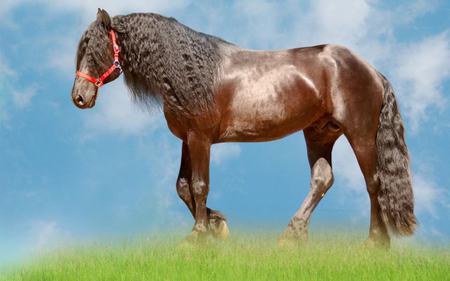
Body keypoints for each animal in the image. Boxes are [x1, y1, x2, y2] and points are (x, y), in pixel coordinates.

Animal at [72, 8, 416, 246]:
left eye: (96, 49)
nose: (79, 97)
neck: (191, 71)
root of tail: (371, 70)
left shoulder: (200, 138)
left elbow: (199, 185)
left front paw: (198, 235)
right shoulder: (187, 139)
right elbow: (183, 187)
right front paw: (217, 226)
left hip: (360, 133)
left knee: (373, 183)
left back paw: (375, 243)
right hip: (320, 133)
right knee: (322, 179)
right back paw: (291, 235)